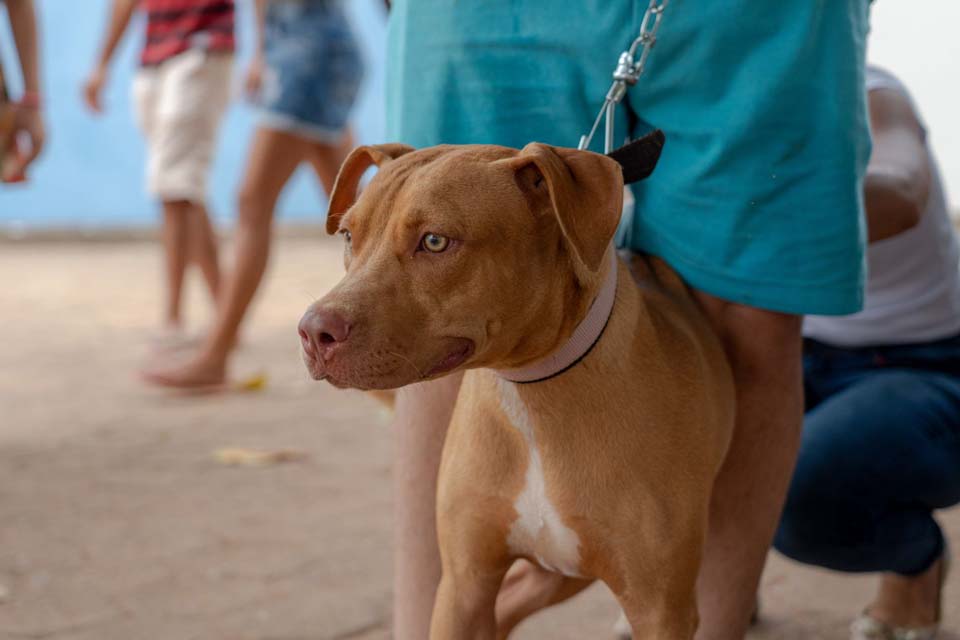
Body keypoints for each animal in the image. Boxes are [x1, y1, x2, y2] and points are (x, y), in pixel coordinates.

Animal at [300, 142, 736, 636]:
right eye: (348, 236)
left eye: (435, 241)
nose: (313, 332)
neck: (532, 394)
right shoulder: (465, 584)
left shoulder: (660, 609)